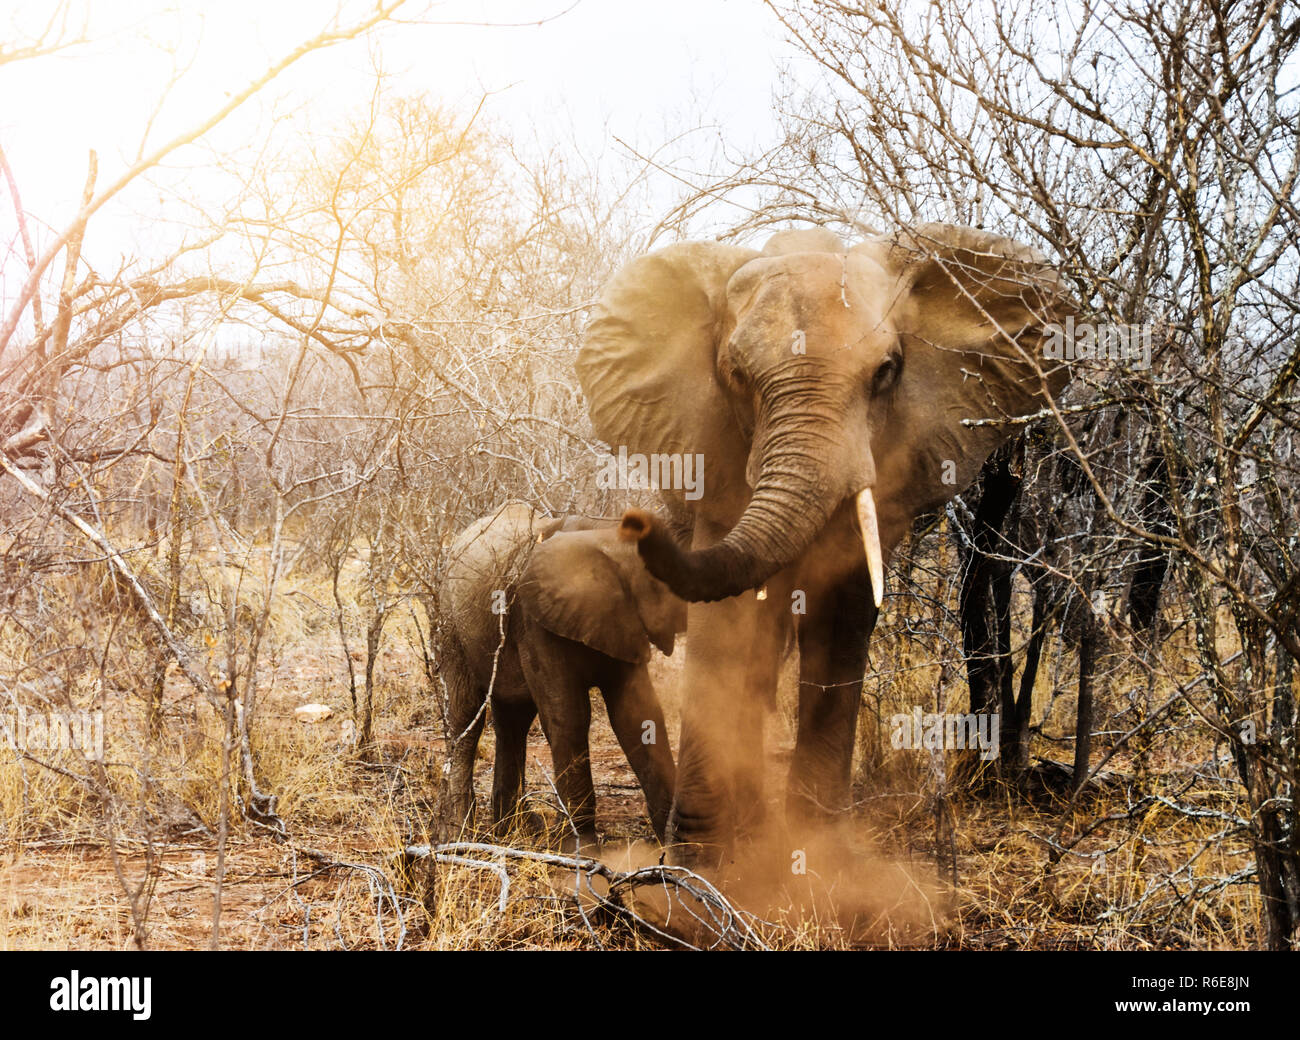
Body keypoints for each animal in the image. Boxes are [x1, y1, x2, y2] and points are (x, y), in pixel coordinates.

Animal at [582, 223, 1076, 863]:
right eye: (736, 375)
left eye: (887, 371)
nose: (635, 524)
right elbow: (728, 621)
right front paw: (697, 865)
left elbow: (842, 617)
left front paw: (814, 851)